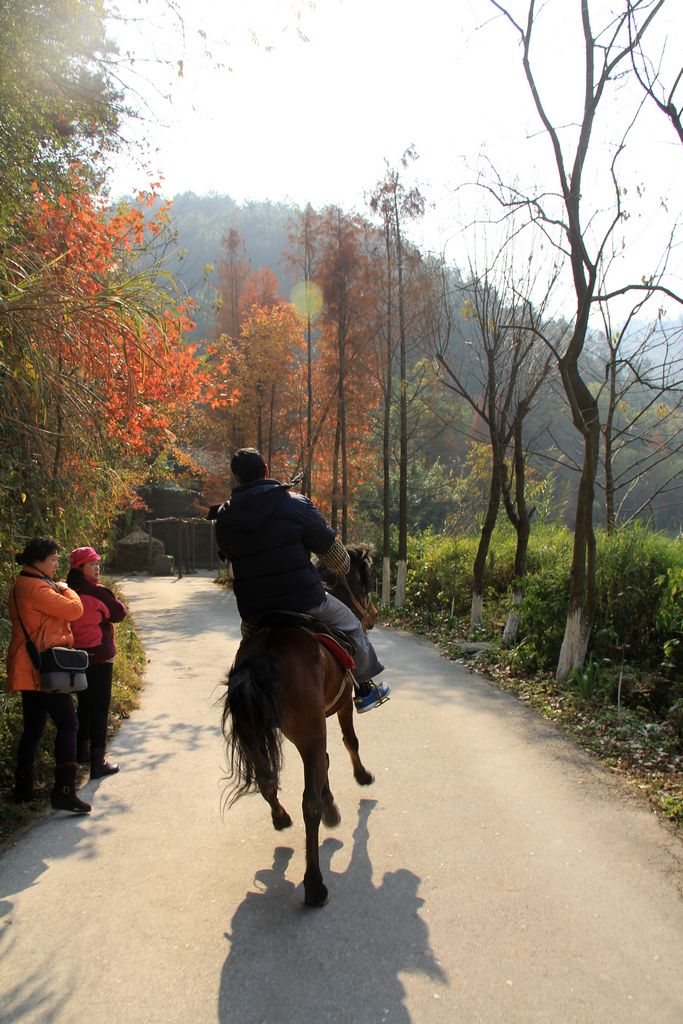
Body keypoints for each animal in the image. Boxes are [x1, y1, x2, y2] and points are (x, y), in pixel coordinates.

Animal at [223, 544, 374, 905]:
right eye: (369, 578)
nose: (372, 618)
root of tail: (262, 658)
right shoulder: (341, 705)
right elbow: (350, 742)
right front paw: (362, 776)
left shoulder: (317, 727)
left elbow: (325, 763)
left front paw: (333, 801)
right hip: (308, 731)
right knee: (309, 804)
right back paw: (315, 885)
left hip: (258, 732)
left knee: (267, 780)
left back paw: (281, 818)